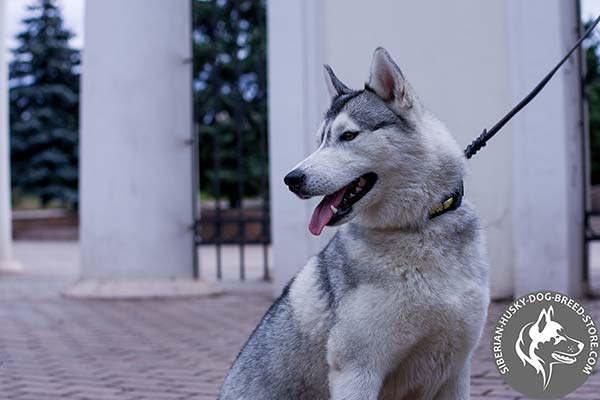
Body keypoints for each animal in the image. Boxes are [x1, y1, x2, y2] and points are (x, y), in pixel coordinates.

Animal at [218, 47, 490, 400]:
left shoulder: (456, 369)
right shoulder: (358, 370)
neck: (416, 228)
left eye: (348, 135)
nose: (291, 179)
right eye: (320, 140)